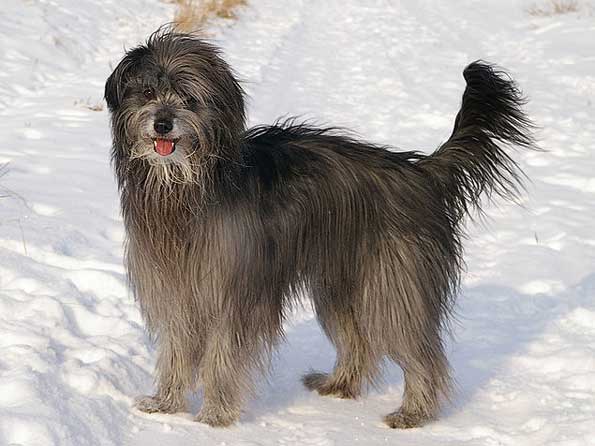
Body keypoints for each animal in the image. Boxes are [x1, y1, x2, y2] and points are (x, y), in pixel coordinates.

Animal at [106, 29, 536, 426]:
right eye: (146, 92)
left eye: (189, 98)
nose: (163, 123)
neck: (185, 189)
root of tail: (420, 172)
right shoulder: (174, 285)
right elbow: (176, 348)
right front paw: (166, 402)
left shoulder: (235, 289)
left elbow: (223, 353)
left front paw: (215, 413)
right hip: (338, 283)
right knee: (357, 341)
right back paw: (339, 384)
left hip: (393, 283)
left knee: (419, 350)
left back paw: (413, 412)